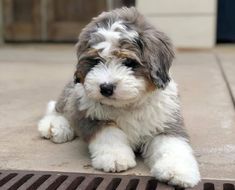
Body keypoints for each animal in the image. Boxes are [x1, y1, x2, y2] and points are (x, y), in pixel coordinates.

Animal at [38, 7, 200, 187]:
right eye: (96, 61)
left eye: (128, 62)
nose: (106, 88)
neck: (128, 105)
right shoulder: (90, 115)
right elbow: (109, 134)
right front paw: (115, 158)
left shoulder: (167, 123)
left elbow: (173, 145)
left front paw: (177, 170)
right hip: (71, 94)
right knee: (59, 108)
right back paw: (54, 126)